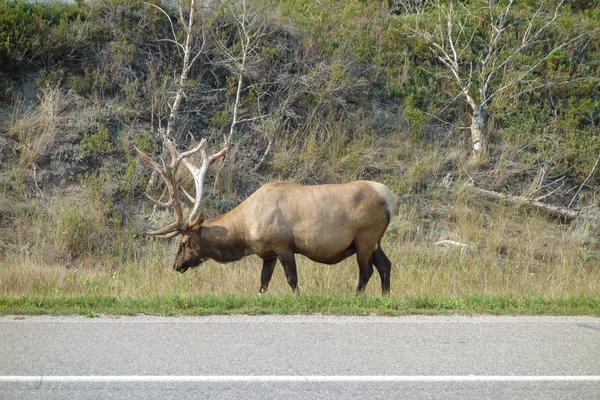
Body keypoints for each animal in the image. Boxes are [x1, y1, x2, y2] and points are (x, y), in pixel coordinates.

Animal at [137, 134, 398, 294]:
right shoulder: (267, 253)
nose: (176, 264)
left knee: (367, 270)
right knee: (385, 265)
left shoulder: (283, 245)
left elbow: (293, 281)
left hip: (365, 237)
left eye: (184, 242)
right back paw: (385, 295)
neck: (246, 231)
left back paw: (356, 295)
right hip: (374, 240)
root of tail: (391, 198)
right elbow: (263, 283)